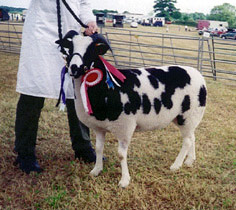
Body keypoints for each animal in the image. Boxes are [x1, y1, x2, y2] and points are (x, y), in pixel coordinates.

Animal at [59, 30, 206, 187]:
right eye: (70, 48)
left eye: (91, 50)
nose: (74, 67)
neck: (105, 88)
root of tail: (199, 75)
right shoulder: (99, 127)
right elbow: (98, 149)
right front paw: (96, 170)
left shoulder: (125, 126)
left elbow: (121, 155)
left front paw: (124, 181)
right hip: (185, 118)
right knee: (192, 136)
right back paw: (190, 161)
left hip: (189, 115)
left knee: (187, 141)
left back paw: (176, 165)